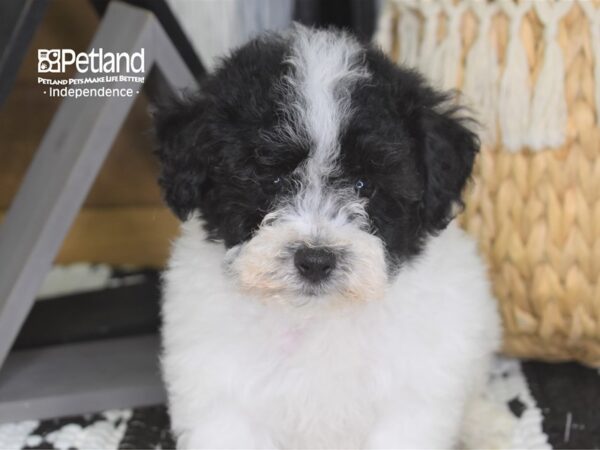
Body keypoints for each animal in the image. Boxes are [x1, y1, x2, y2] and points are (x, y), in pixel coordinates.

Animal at [155, 25, 510, 450]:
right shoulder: (221, 395)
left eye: (364, 185)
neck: (316, 316)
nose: (315, 260)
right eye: (272, 179)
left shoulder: (411, 398)